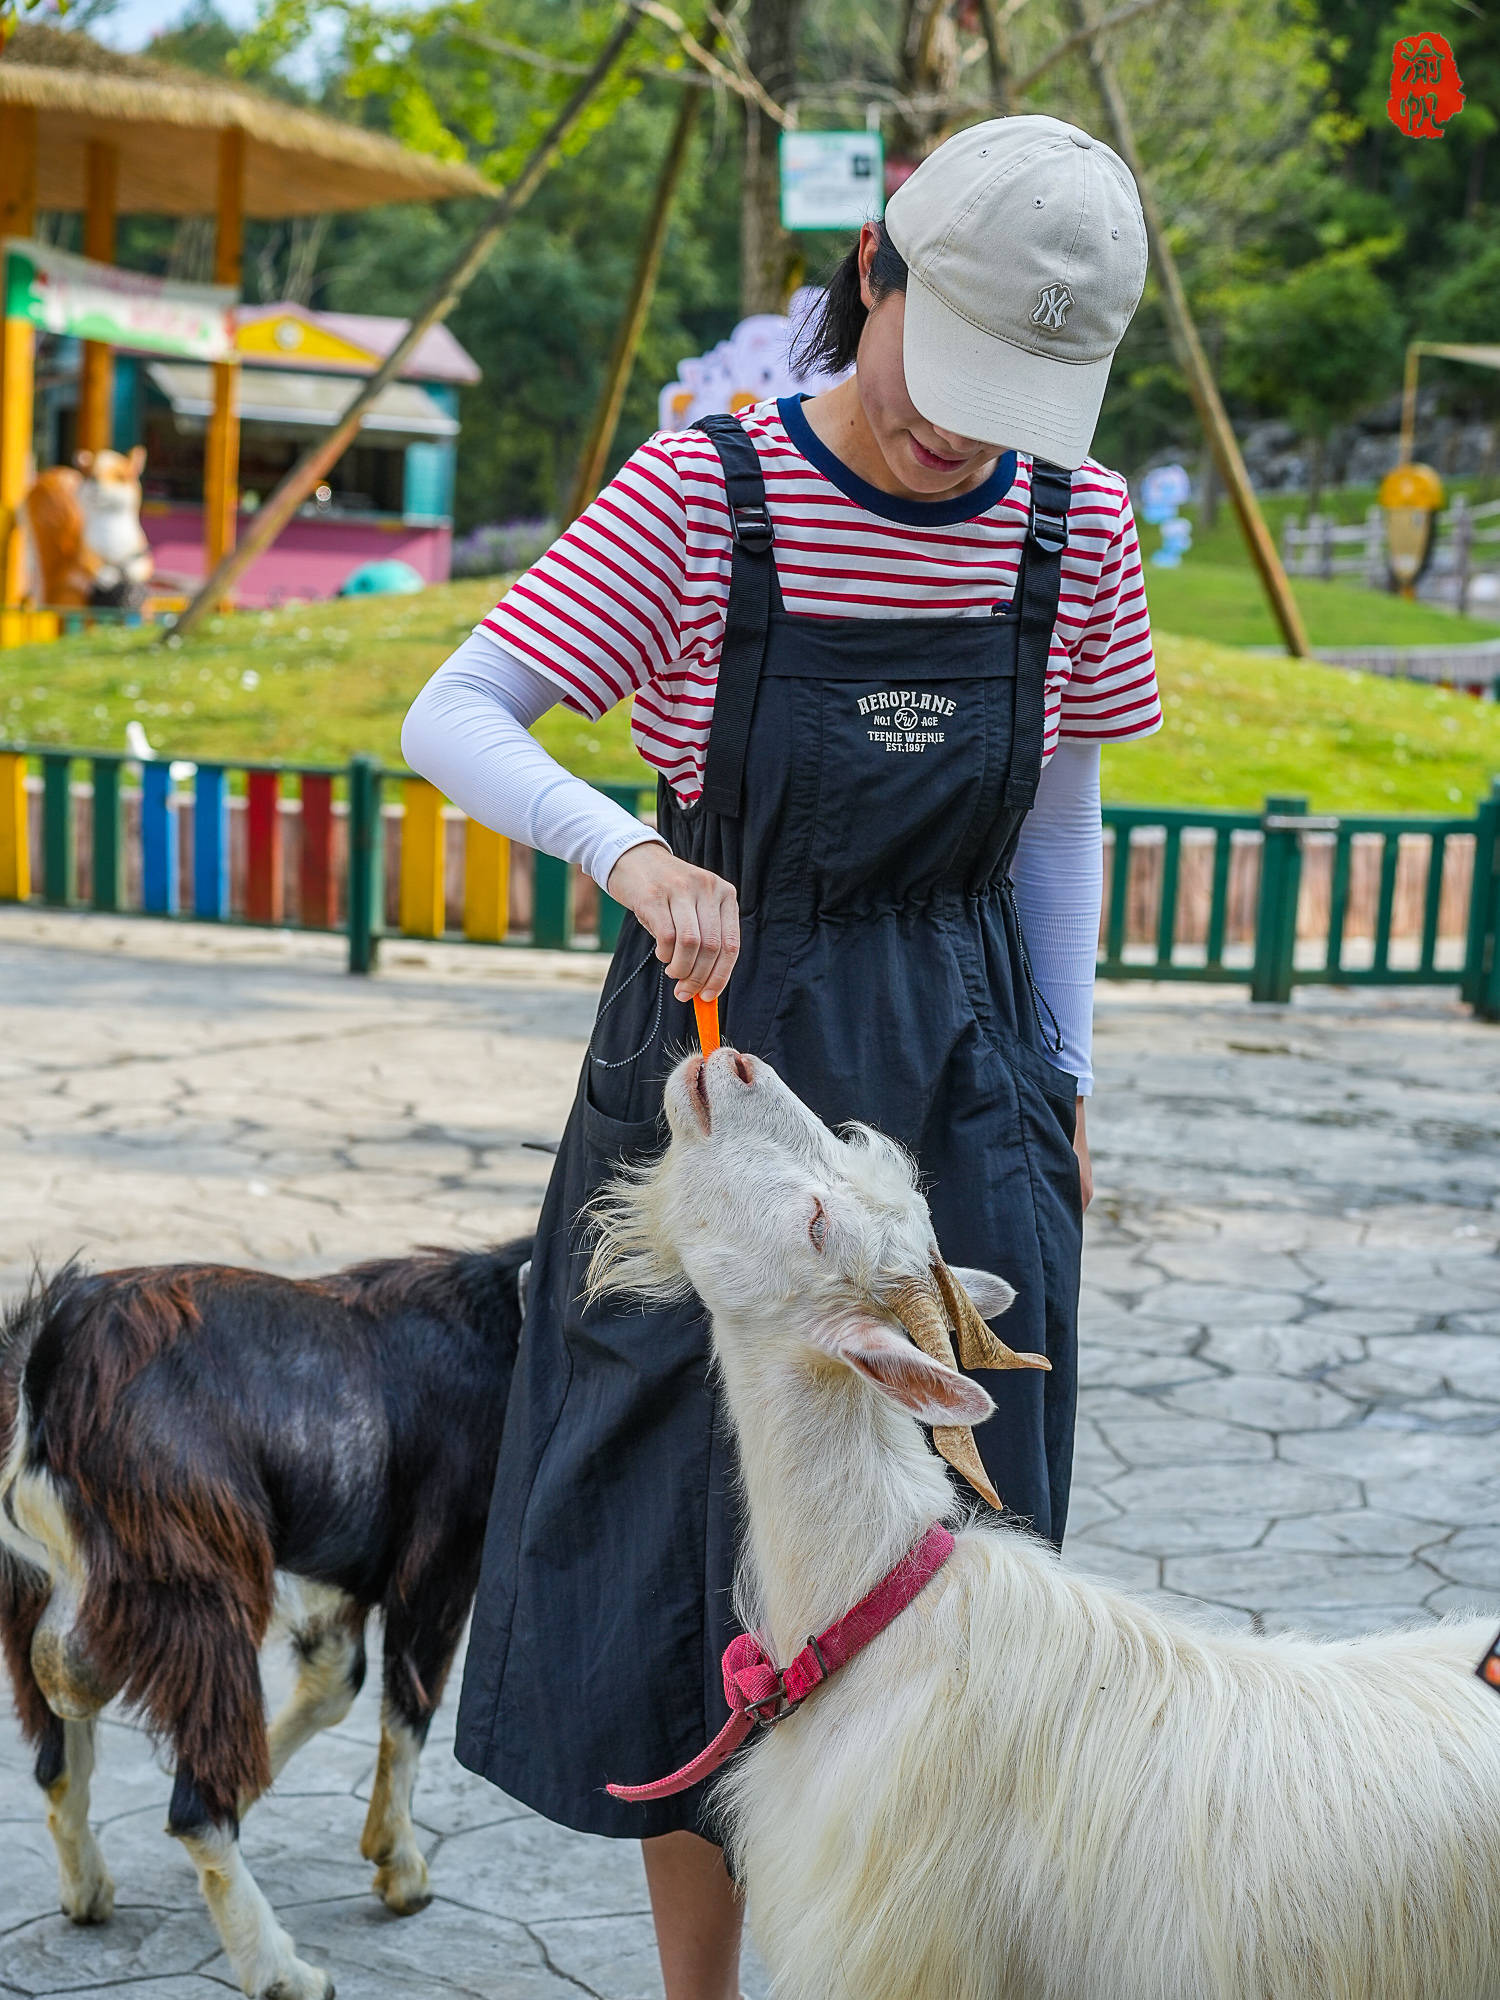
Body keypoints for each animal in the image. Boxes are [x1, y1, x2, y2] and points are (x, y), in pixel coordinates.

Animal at [0, 1240, 532, 1992]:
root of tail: (51, 1360)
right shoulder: (441, 1567)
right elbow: (409, 1714)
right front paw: (400, 1869)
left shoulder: (335, 1571)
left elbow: (336, 1684)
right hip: (208, 1587)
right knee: (192, 1806)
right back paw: (284, 1972)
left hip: (49, 1585)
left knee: (60, 1725)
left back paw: (88, 1890)